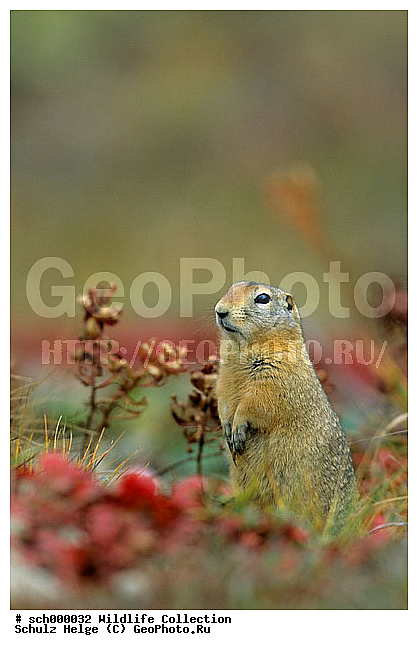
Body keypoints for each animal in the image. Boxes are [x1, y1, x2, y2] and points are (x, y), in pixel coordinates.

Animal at [215, 281, 358, 534]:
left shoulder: (276, 378)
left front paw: (238, 428)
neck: (241, 351)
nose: (219, 310)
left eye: (263, 298)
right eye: (231, 288)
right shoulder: (223, 380)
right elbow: (223, 401)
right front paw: (227, 429)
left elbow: (256, 404)